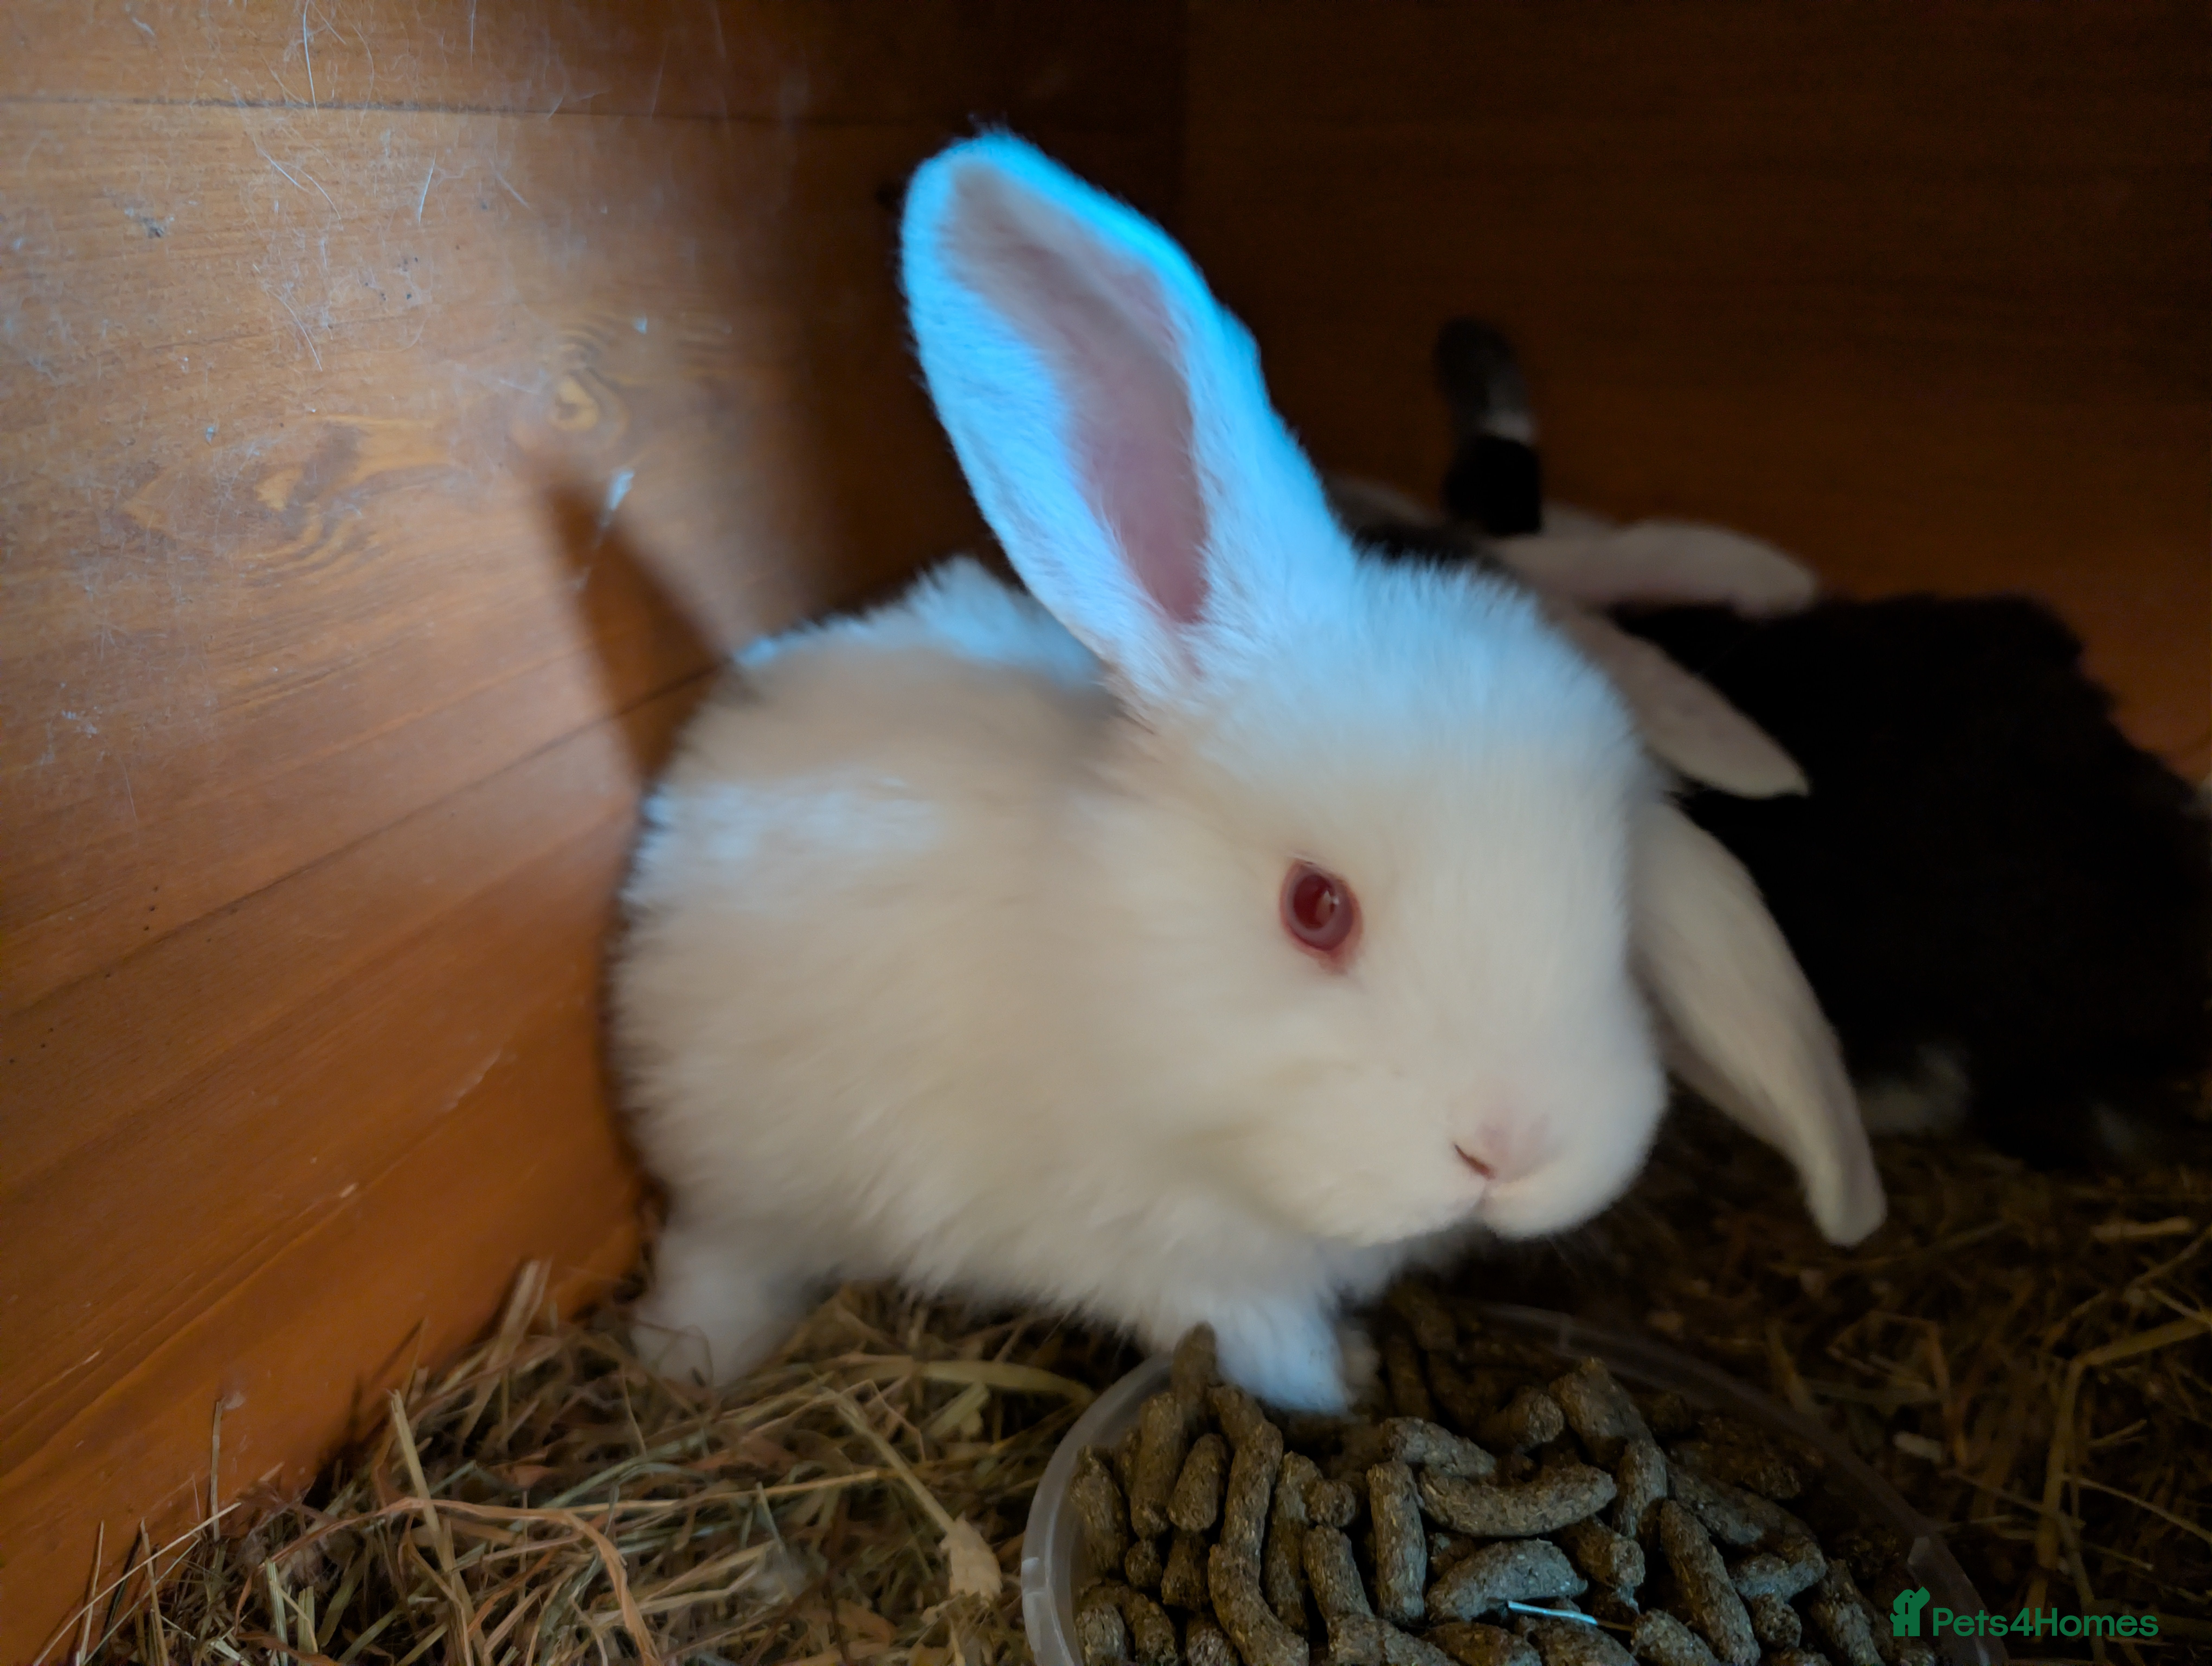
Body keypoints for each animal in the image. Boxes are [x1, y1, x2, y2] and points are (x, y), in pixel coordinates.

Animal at [610, 138, 1883, 1413]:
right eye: (1313, 907)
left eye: (1617, 928)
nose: (1506, 1146)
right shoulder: (1179, 1271)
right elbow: (1278, 1355)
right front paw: (1354, 1381)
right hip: (740, 1168)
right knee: (719, 1253)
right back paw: (689, 1360)